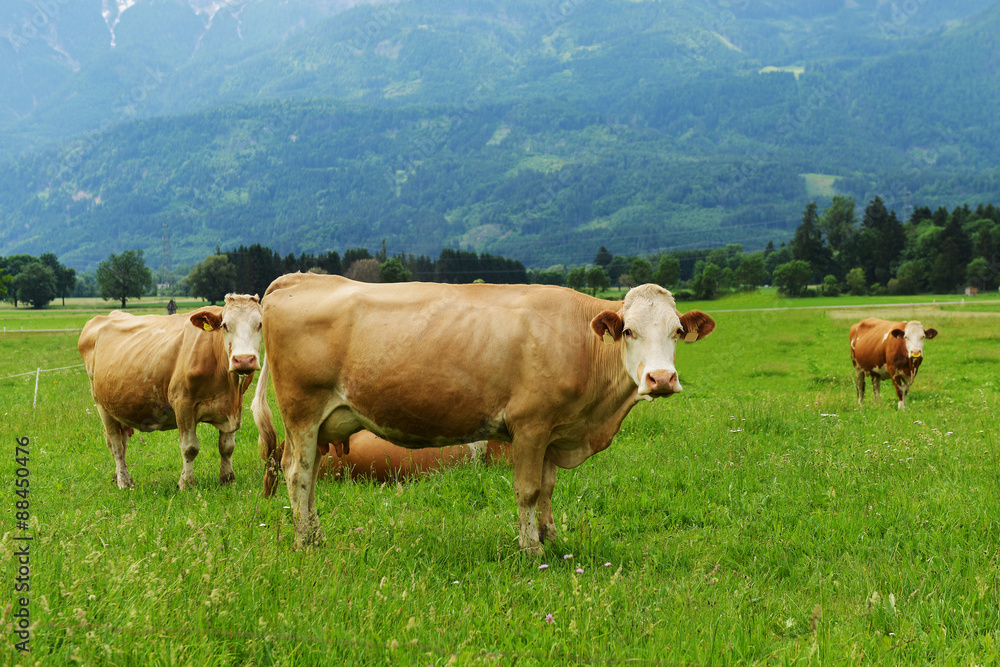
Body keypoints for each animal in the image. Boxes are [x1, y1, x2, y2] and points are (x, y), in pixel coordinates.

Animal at [78, 294, 263, 489]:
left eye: (260, 324)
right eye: (225, 325)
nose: (243, 360)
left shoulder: (233, 406)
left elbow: (227, 447)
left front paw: (228, 480)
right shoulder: (183, 403)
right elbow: (189, 448)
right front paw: (186, 483)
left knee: (122, 442)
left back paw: (117, 477)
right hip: (101, 405)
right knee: (116, 444)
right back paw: (124, 481)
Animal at [251, 274, 715, 553]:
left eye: (677, 331)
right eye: (630, 331)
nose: (661, 378)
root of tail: (301, 278)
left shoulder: (553, 432)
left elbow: (548, 490)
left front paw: (551, 539)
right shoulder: (530, 425)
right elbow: (528, 490)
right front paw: (531, 549)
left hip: (318, 423)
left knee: (308, 477)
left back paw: (316, 535)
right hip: (303, 413)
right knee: (298, 473)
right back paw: (306, 541)